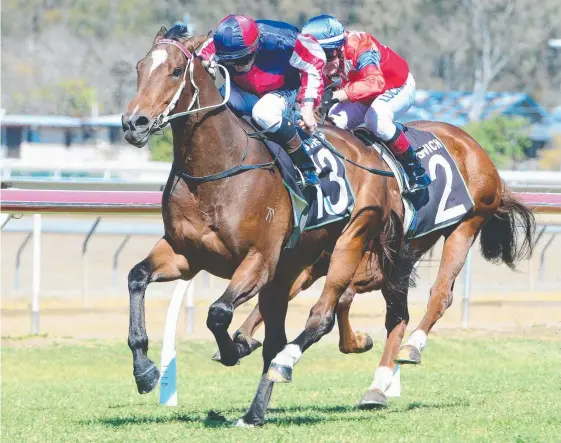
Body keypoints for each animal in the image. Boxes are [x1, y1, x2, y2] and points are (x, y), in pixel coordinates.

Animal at [122, 26, 532, 426]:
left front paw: (235, 348)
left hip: (428, 230)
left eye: (176, 71)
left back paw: (396, 350)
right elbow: (137, 277)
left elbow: (220, 313)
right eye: (139, 68)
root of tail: (472, 145)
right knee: (378, 317)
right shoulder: (185, 254)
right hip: (367, 257)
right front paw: (145, 371)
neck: (220, 167)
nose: (134, 123)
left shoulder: (261, 261)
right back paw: (279, 405)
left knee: (368, 308)